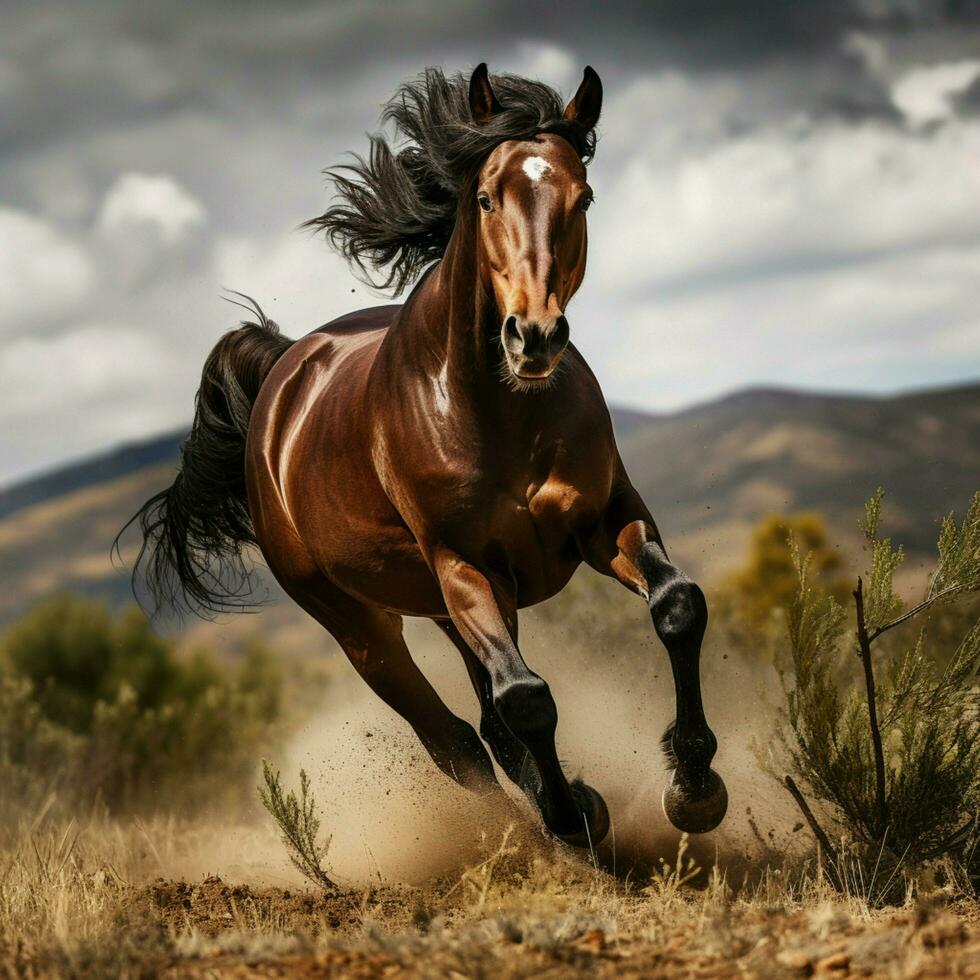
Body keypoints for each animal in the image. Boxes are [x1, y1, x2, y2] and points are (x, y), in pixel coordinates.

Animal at [126, 63, 728, 844]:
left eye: (584, 196)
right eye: (485, 197)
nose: (534, 336)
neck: (500, 412)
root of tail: (284, 370)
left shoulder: (605, 519)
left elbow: (677, 605)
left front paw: (694, 787)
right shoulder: (465, 566)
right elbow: (526, 697)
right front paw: (571, 822)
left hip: (442, 606)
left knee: (486, 724)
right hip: (363, 627)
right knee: (456, 742)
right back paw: (540, 830)